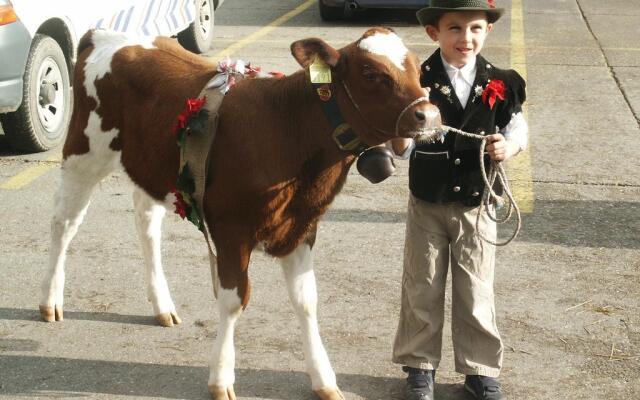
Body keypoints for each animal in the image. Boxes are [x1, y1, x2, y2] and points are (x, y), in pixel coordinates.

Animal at [40, 28, 440, 400]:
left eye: (416, 67)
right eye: (371, 73)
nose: (431, 115)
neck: (287, 128)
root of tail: (105, 35)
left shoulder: (302, 227)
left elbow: (306, 301)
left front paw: (324, 379)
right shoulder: (231, 229)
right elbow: (234, 301)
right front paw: (221, 378)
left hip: (149, 165)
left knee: (146, 223)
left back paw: (162, 304)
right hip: (84, 153)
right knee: (64, 222)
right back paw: (50, 300)